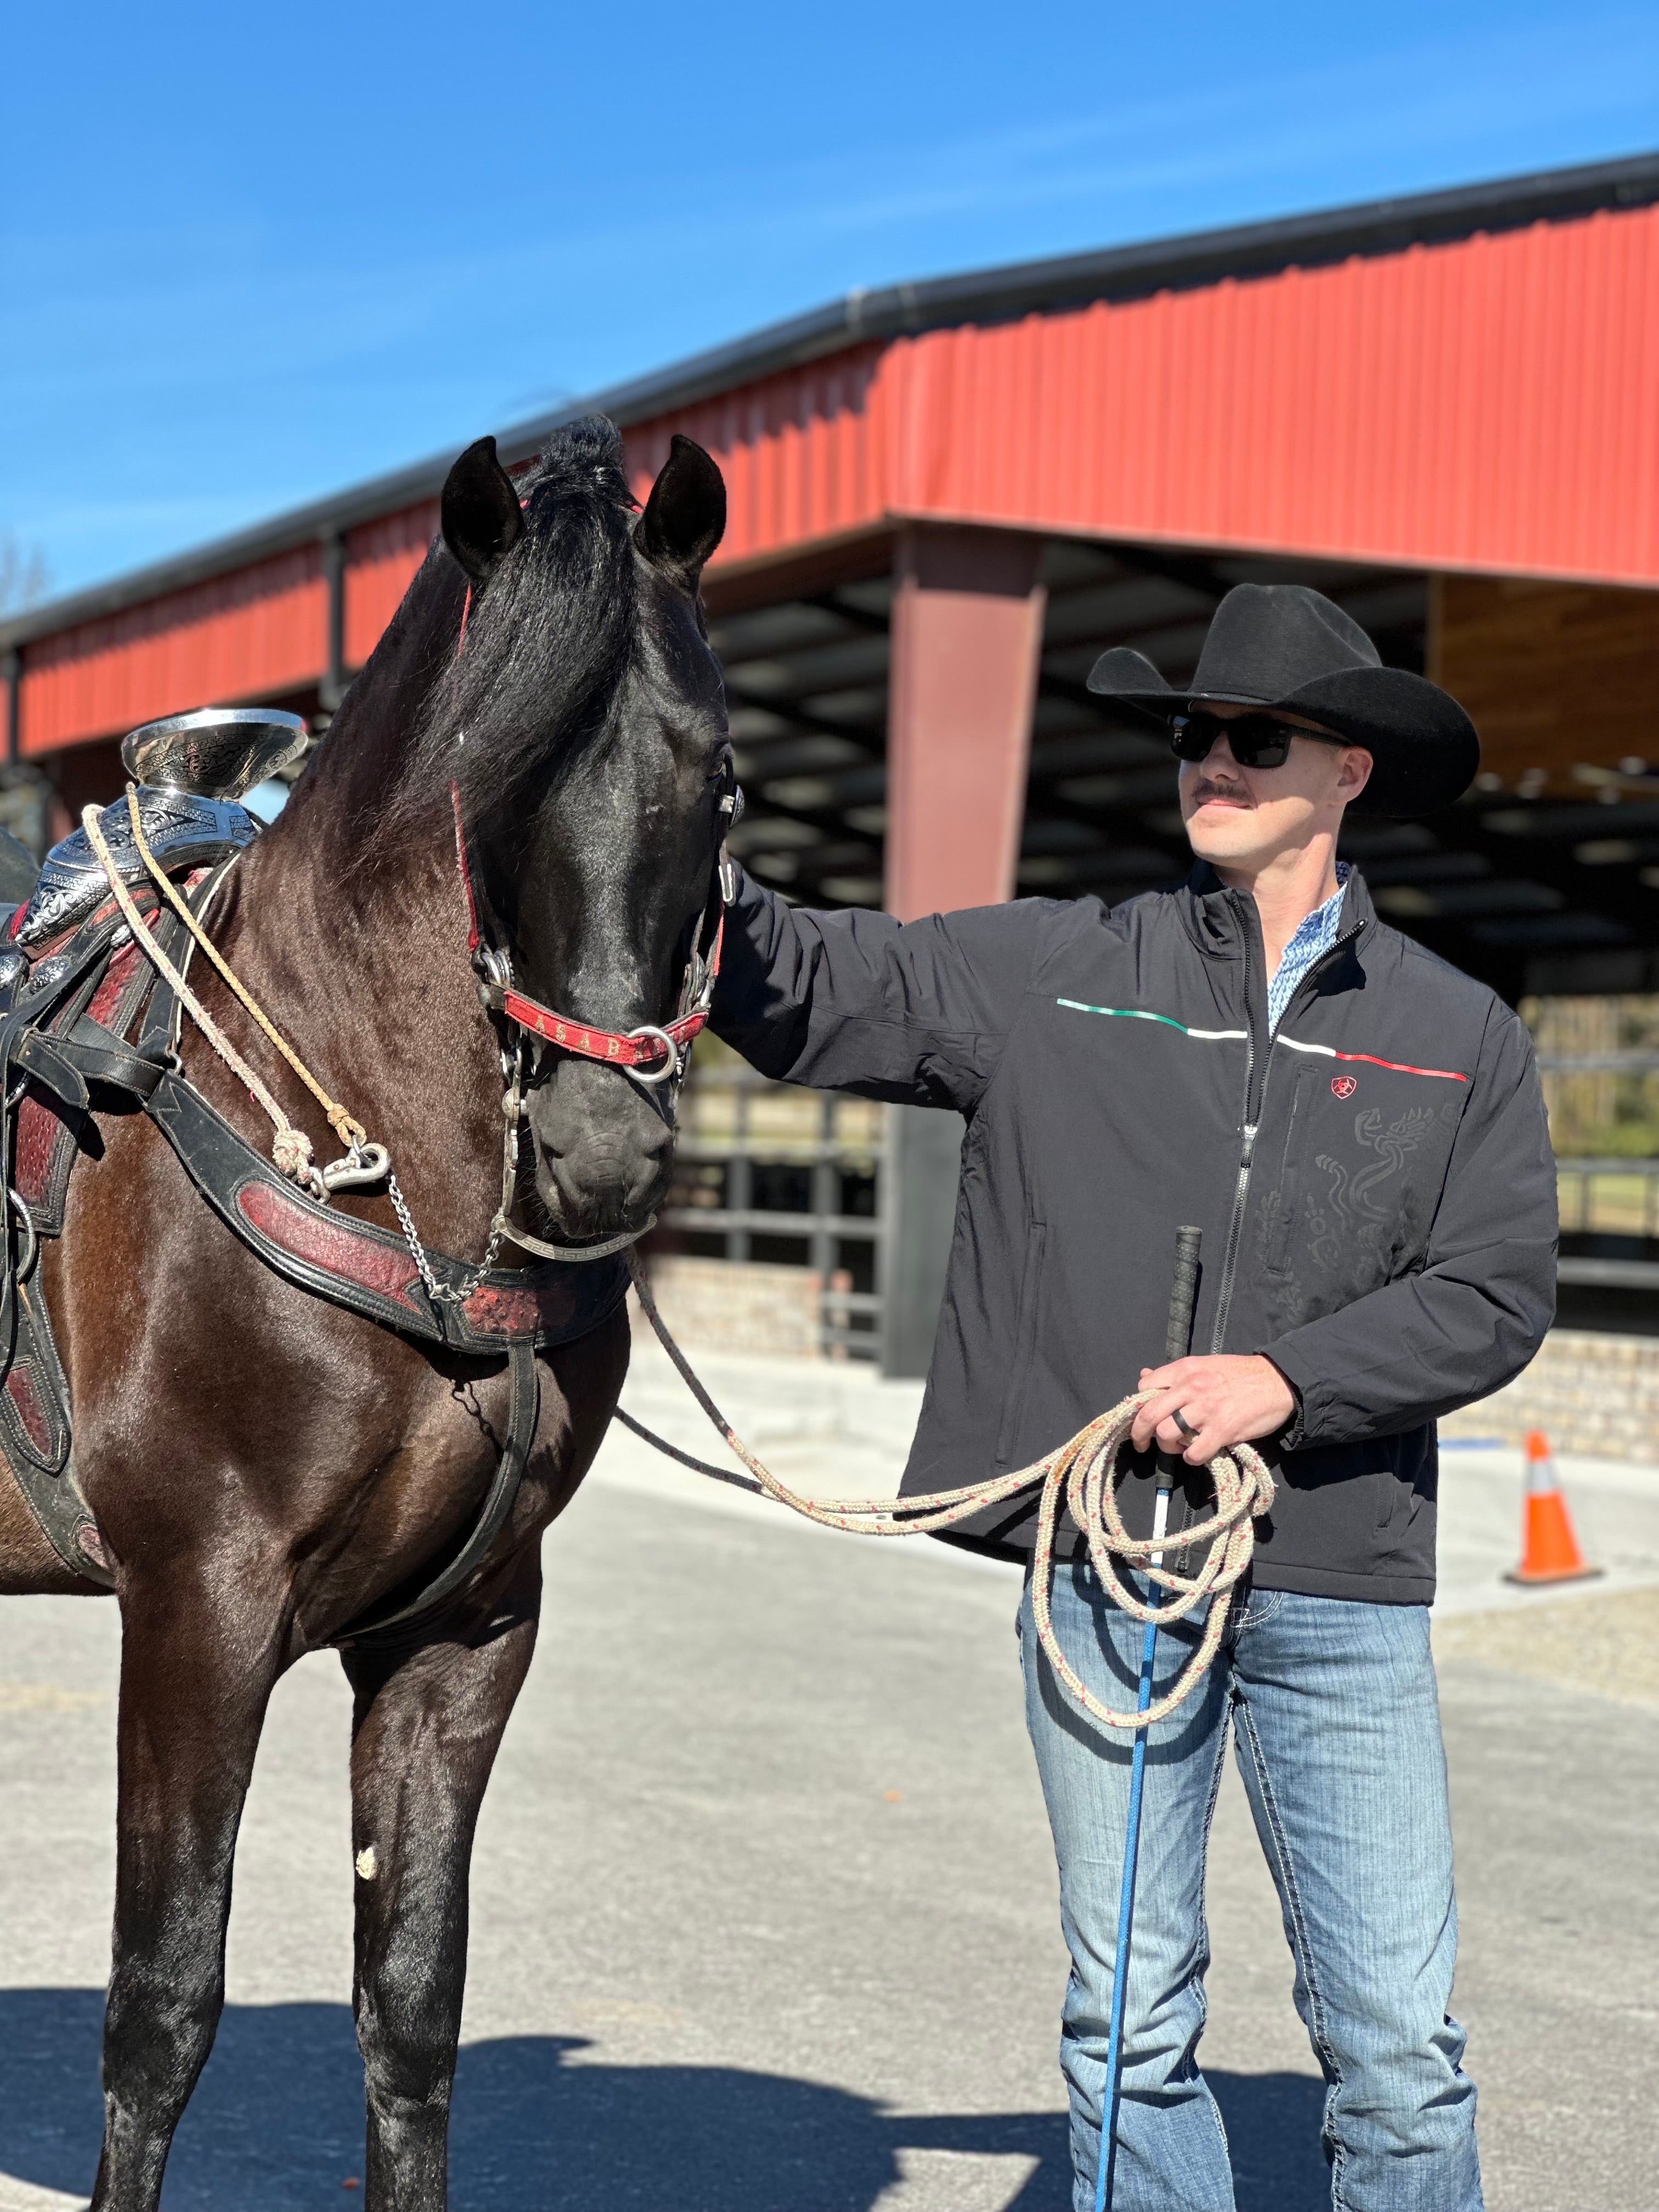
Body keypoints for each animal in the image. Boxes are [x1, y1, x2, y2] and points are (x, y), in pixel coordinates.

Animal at [0, 418, 734, 2212]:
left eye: (719, 775)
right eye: (489, 773)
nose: (604, 1154)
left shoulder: (462, 1632)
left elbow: (409, 2008)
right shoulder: (197, 1610)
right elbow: (161, 2009)